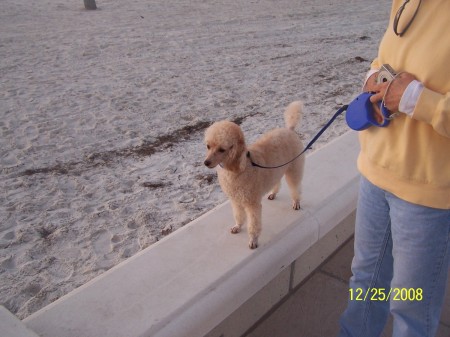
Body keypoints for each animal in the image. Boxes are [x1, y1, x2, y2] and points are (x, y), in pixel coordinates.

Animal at [205, 101, 306, 248]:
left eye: (222, 149)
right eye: (208, 146)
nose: (206, 162)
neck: (239, 167)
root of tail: (290, 129)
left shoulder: (252, 204)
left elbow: (253, 223)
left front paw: (253, 240)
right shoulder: (236, 200)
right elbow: (238, 215)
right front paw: (237, 226)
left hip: (294, 168)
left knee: (295, 186)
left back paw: (296, 202)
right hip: (276, 169)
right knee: (277, 181)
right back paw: (273, 193)